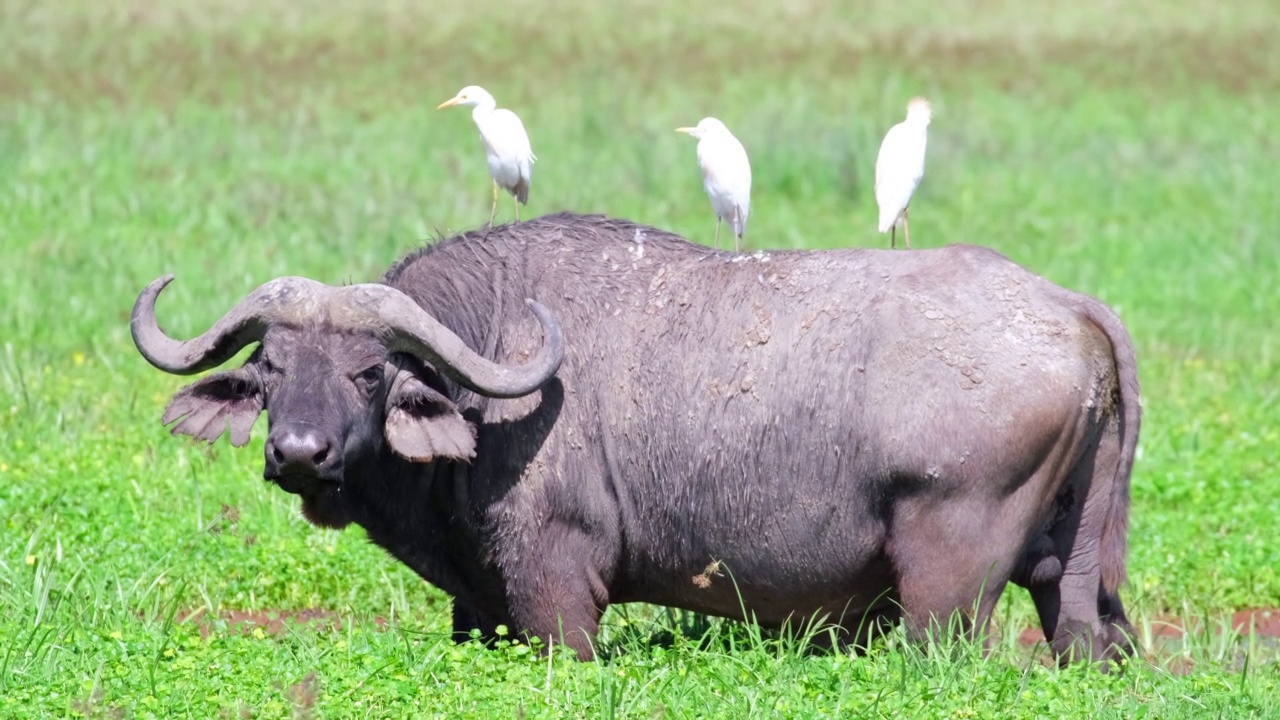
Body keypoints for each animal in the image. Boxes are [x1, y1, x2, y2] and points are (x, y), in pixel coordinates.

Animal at [132, 212, 1141, 661]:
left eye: (369, 372)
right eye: (270, 367)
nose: (299, 453)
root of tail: (1069, 306)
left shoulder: (557, 584)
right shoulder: (477, 602)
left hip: (945, 589)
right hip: (1075, 575)